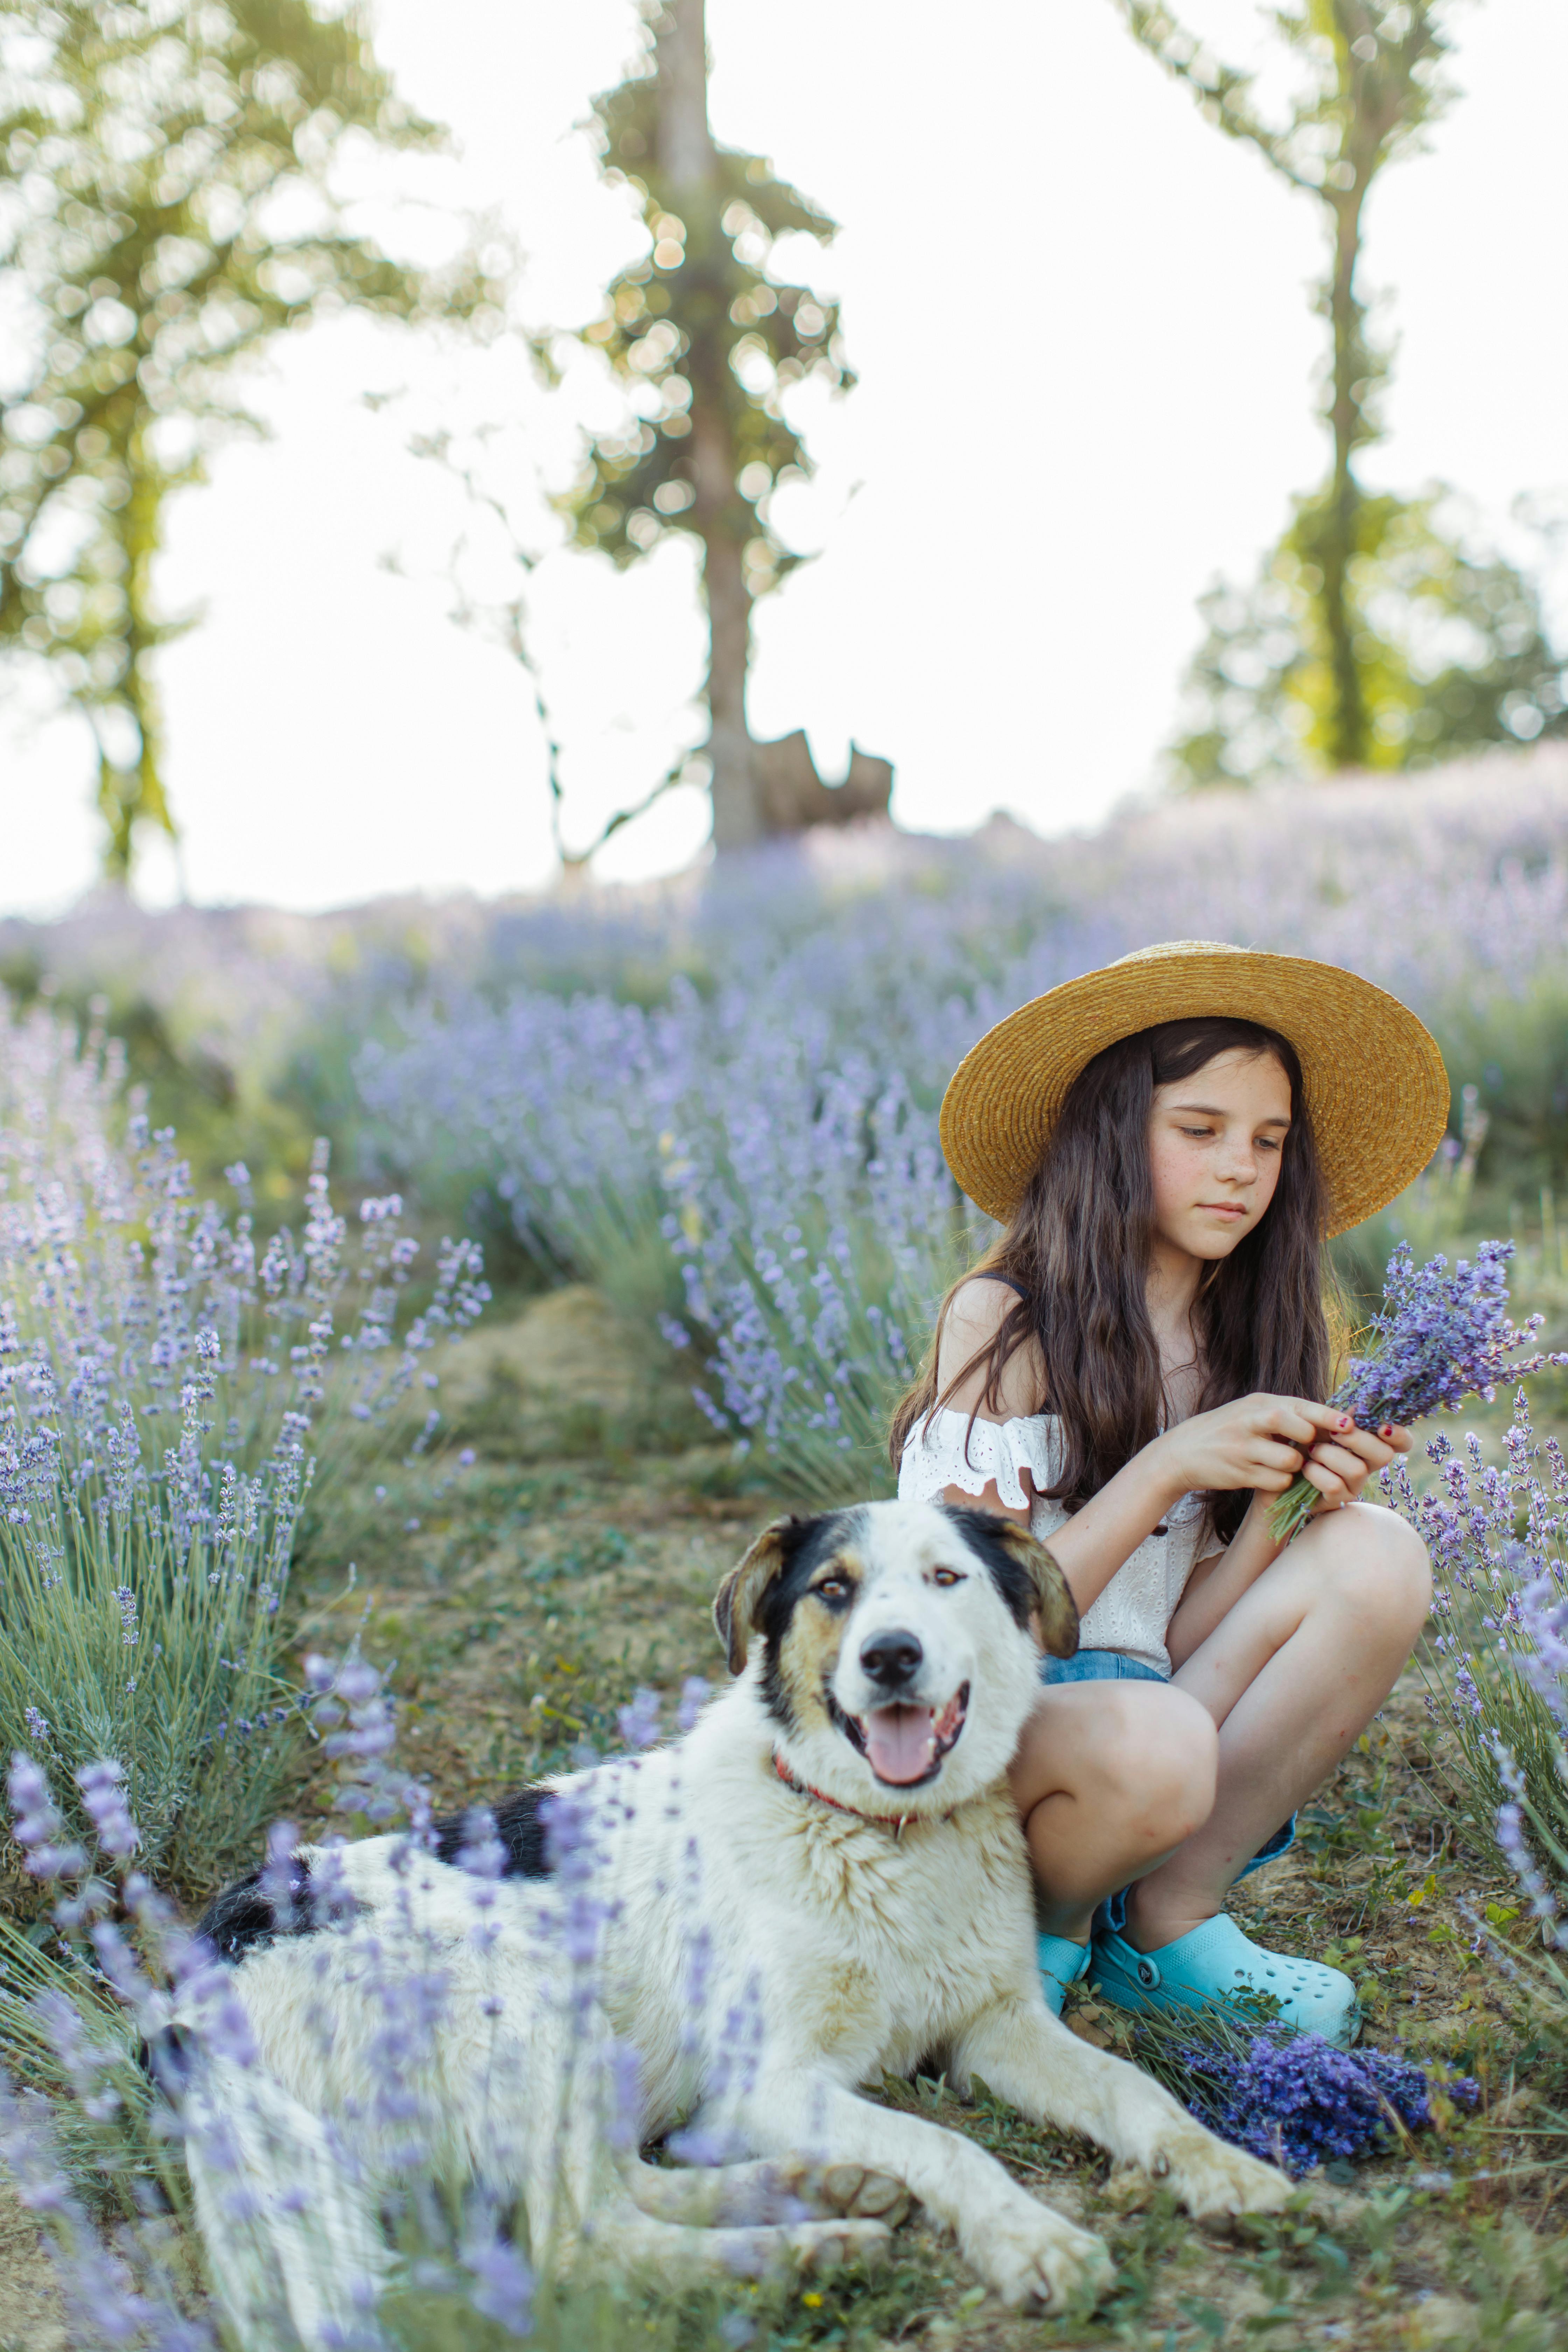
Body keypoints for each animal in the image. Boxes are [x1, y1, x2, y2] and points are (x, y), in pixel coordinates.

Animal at [181, 1496, 1288, 2343]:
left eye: (947, 1579)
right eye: (833, 1589)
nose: (891, 1658)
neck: (877, 1834)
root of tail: (195, 1981)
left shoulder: (993, 2029)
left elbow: (1134, 2091)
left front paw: (1226, 2169)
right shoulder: (774, 2078)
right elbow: (948, 2148)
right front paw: (1032, 2239)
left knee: (628, 2182)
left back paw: (822, 2195)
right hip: (534, 2005)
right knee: (580, 2243)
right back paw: (802, 2245)